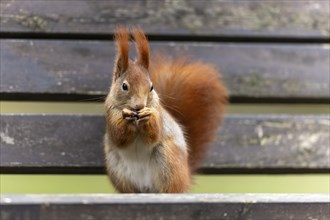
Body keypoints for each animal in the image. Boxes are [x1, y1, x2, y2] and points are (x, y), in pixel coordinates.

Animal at [103, 27, 227, 192]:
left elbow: (154, 134)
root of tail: (185, 177)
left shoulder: (158, 113)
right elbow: (119, 137)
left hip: (168, 160)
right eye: (124, 86)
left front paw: (148, 116)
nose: (140, 106)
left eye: (151, 87)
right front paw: (126, 117)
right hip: (117, 168)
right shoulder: (110, 113)